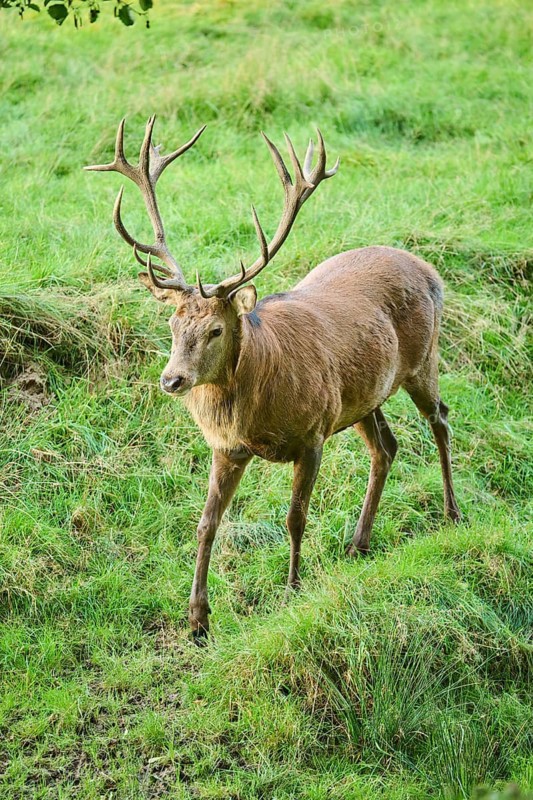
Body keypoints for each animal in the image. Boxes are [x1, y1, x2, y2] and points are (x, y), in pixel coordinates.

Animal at [85, 116, 461, 641]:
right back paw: (359, 542)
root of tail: (429, 269)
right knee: (386, 446)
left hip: (423, 358)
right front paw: (197, 620)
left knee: (440, 420)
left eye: (216, 329)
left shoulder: (313, 433)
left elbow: (295, 517)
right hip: (362, 397)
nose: (172, 380)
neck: (258, 408)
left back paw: (451, 513)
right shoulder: (227, 447)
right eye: (173, 324)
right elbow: (206, 523)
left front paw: (292, 589)